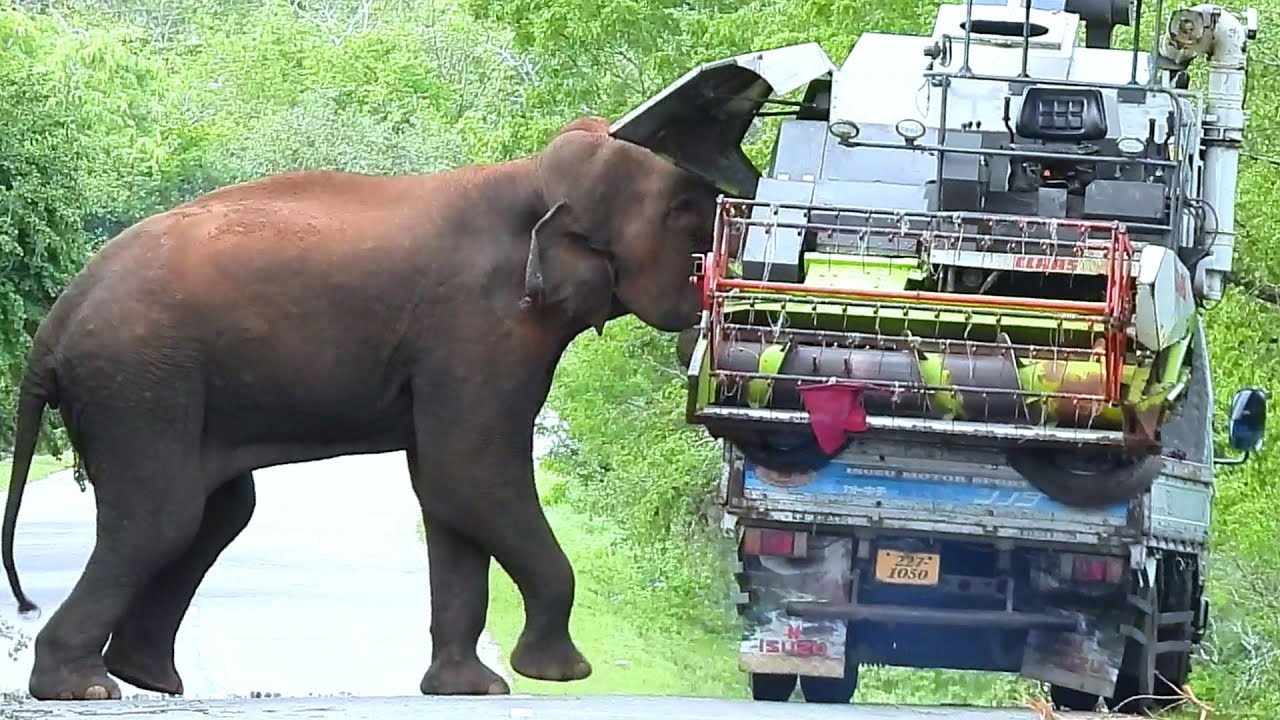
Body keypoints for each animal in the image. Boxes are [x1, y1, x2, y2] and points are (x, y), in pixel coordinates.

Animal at [1, 115, 721, 701]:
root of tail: (53, 328)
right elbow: (471, 477)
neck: (530, 178)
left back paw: (144, 677)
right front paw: (558, 674)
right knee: (163, 518)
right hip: (139, 382)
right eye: (688, 214)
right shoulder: (478, 330)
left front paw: (470, 689)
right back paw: (87, 688)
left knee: (215, 513)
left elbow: (447, 494)